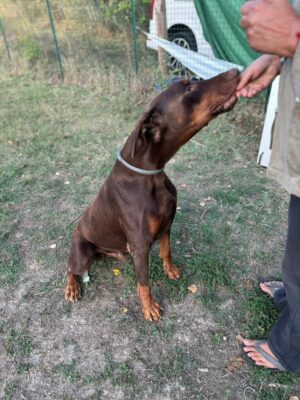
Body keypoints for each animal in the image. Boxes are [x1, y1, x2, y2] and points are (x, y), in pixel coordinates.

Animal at [64, 67, 240, 320]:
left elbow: (166, 251)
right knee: (69, 268)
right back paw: (72, 288)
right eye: (189, 88)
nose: (235, 70)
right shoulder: (139, 245)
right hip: (82, 253)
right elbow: (143, 282)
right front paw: (149, 308)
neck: (150, 176)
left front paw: (170, 269)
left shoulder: (167, 224)